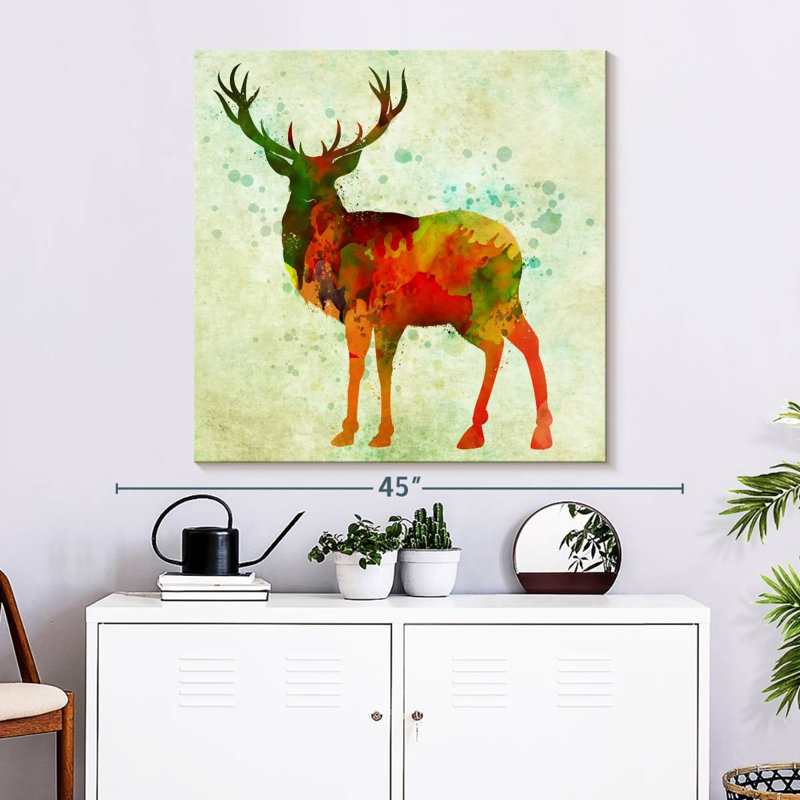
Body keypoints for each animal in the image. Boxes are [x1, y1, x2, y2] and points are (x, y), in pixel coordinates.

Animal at [215, 65, 552, 451]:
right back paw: (519, 432)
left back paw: (494, 431)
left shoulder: (375, 311)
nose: (310, 202)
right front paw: (368, 431)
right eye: (292, 178)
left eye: (332, 178)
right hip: (491, 308)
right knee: (519, 343)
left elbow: (369, 366)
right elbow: (372, 366)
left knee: (504, 345)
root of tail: (518, 250)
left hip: (486, 304)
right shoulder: (378, 317)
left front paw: (362, 432)